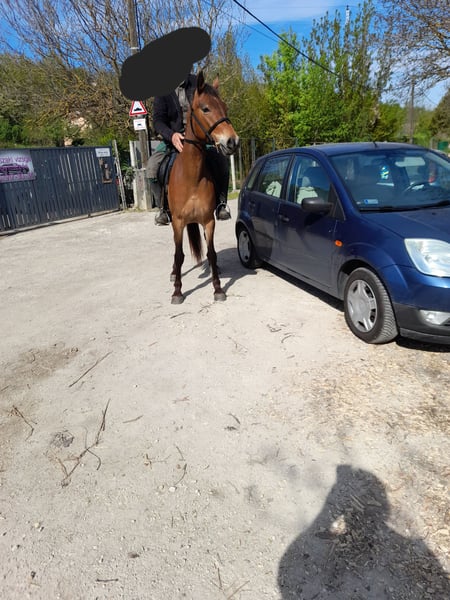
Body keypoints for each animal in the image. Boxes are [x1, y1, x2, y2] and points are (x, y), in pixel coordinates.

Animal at [167, 70, 239, 304]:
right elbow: (179, 255)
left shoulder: (208, 220)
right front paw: (178, 291)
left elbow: (212, 253)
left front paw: (218, 288)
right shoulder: (178, 223)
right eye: (205, 108)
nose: (232, 141)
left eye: (225, 107)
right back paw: (174, 274)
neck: (192, 177)